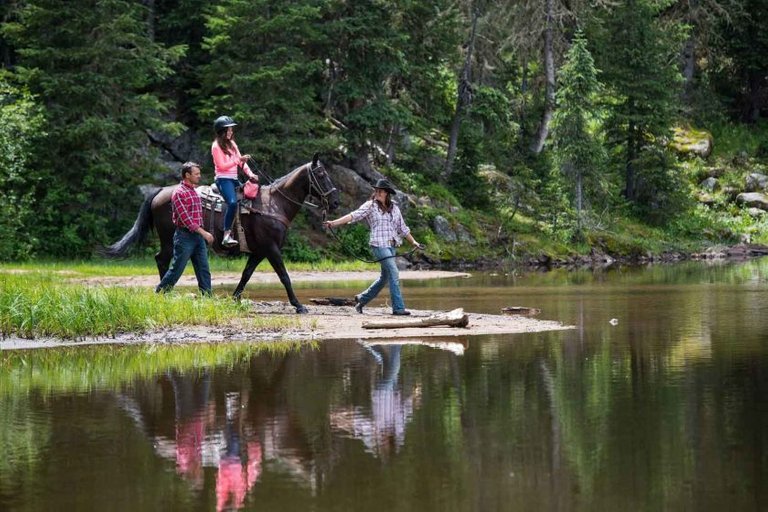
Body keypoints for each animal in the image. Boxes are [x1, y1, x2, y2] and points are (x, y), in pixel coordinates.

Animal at [103, 154, 340, 314]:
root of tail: (161, 191)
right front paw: (298, 305)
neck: (274, 204)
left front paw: (234, 298)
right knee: (163, 259)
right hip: (169, 239)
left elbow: (246, 274)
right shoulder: (271, 249)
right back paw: (167, 292)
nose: (335, 201)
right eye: (320, 174)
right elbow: (284, 276)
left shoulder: (259, 251)